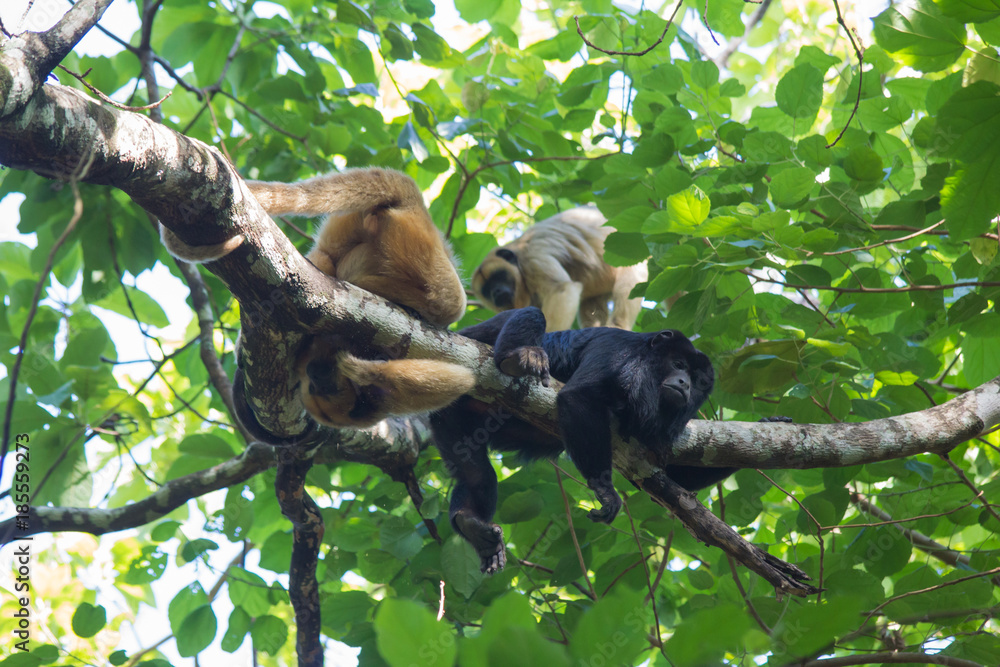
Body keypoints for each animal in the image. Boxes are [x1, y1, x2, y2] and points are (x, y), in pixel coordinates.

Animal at [430, 306, 717, 574]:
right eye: (679, 365)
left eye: (698, 380)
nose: (685, 384)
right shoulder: (618, 350)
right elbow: (579, 395)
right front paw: (606, 491)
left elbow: (678, 478)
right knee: (530, 313)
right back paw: (516, 358)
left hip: (448, 418)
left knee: (477, 474)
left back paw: (471, 525)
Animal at [471, 207, 648, 332]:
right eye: (487, 290)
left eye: (499, 277)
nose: (496, 292)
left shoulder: (533, 258)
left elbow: (561, 290)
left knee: (628, 285)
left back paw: (619, 325)